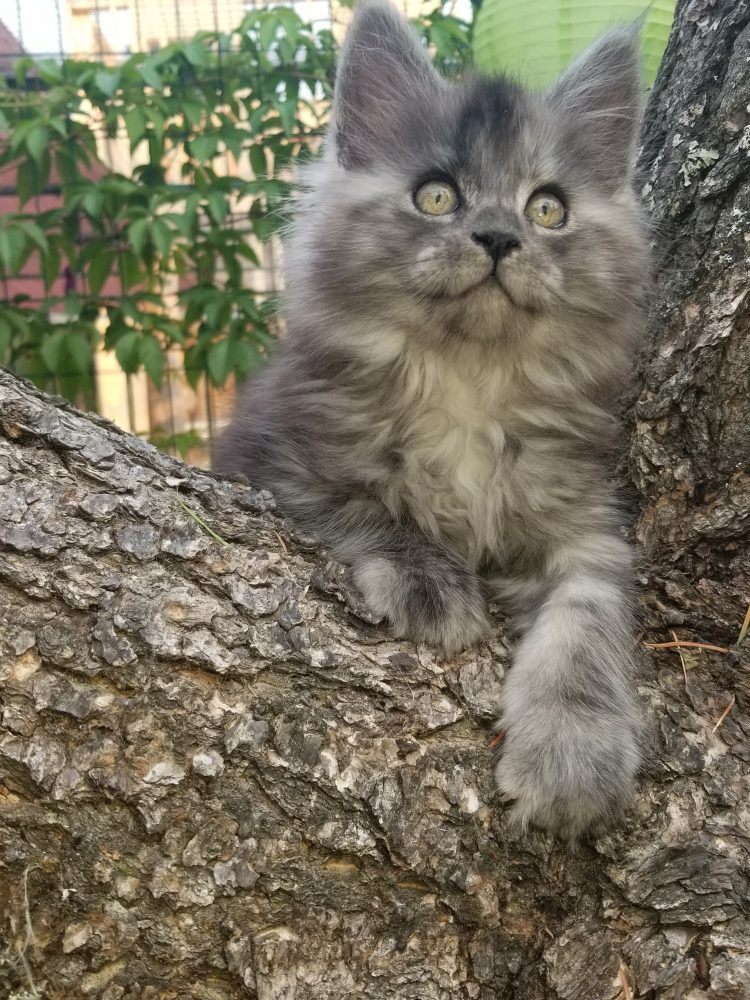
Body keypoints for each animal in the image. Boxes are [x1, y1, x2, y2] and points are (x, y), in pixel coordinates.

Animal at [217, 0, 652, 840]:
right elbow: (363, 506)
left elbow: (586, 623)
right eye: (437, 197)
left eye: (546, 208)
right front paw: (430, 584)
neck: (468, 382)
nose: (500, 237)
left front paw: (574, 750)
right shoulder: (276, 458)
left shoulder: (584, 524)